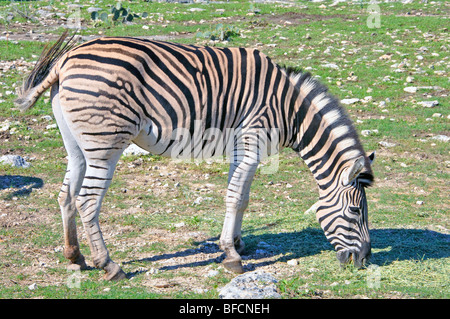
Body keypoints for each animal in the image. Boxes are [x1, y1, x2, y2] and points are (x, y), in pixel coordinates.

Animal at [15, 31, 374, 280]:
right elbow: (235, 198)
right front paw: (232, 256)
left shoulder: (242, 149)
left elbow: (241, 197)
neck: (290, 111)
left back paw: (75, 257)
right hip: (106, 143)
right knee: (87, 200)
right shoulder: (252, 141)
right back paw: (109, 265)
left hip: (78, 145)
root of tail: (66, 60)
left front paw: (238, 243)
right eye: (356, 211)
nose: (365, 260)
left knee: (66, 195)